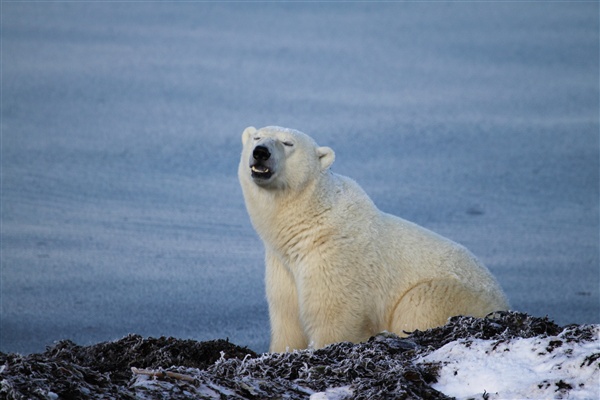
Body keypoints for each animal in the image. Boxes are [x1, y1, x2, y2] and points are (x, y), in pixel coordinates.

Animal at [237, 126, 508, 354]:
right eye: (257, 137)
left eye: (288, 143)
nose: (260, 152)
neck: (311, 220)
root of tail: (504, 302)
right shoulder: (283, 267)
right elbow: (287, 319)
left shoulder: (336, 258)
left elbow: (334, 318)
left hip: (453, 294)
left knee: (419, 305)